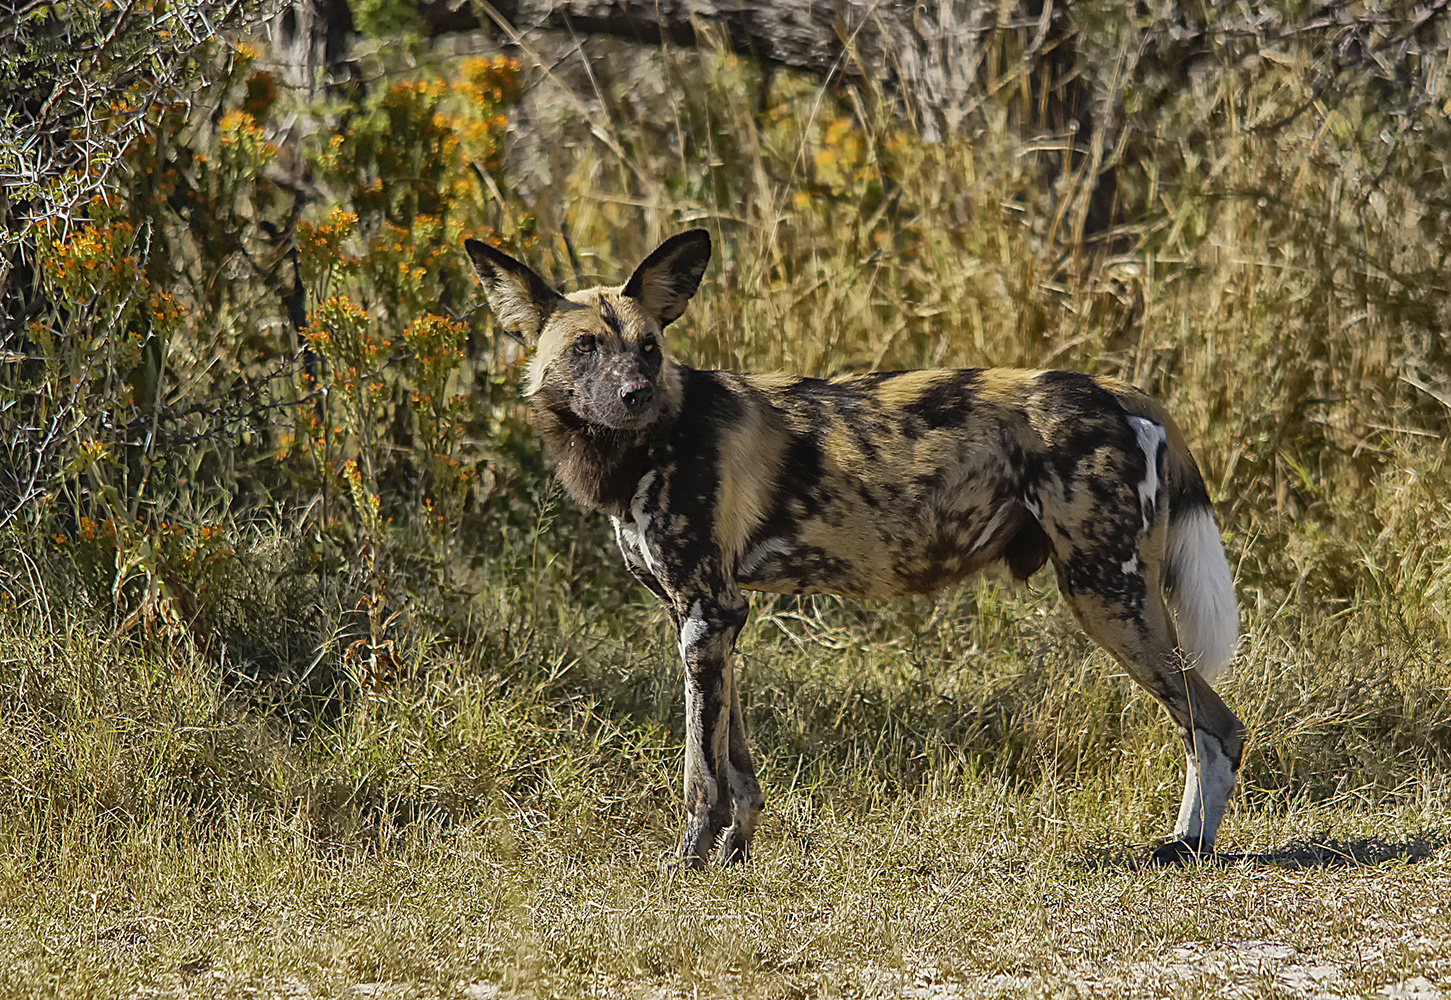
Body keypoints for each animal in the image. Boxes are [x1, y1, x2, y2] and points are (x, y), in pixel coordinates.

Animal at [467, 227, 1247, 865]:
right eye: (585, 348)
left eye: (649, 348)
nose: (635, 393)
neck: (645, 444)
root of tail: (1119, 390)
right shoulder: (707, 619)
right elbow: (736, 763)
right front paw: (734, 857)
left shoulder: (706, 614)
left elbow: (700, 773)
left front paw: (688, 863)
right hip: (1116, 598)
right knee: (1208, 725)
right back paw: (1187, 842)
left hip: (1106, 597)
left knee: (1215, 727)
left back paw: (1187, 847)